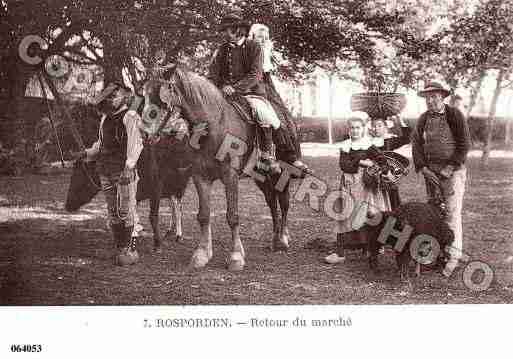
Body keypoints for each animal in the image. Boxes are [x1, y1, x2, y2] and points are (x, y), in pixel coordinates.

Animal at [143, 66, 296, 272]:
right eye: (145, 95)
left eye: (161, 98)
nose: (145, 133)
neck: (214, 126)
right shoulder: (200, 176)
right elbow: (204, 215)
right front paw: (202, 254)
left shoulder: (230, 176)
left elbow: (232, 216)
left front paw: (236, 256)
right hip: (262, 178)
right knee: (272, 203)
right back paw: (275, 239)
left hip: (283, 175)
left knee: (284, 202)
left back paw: (283, 239)